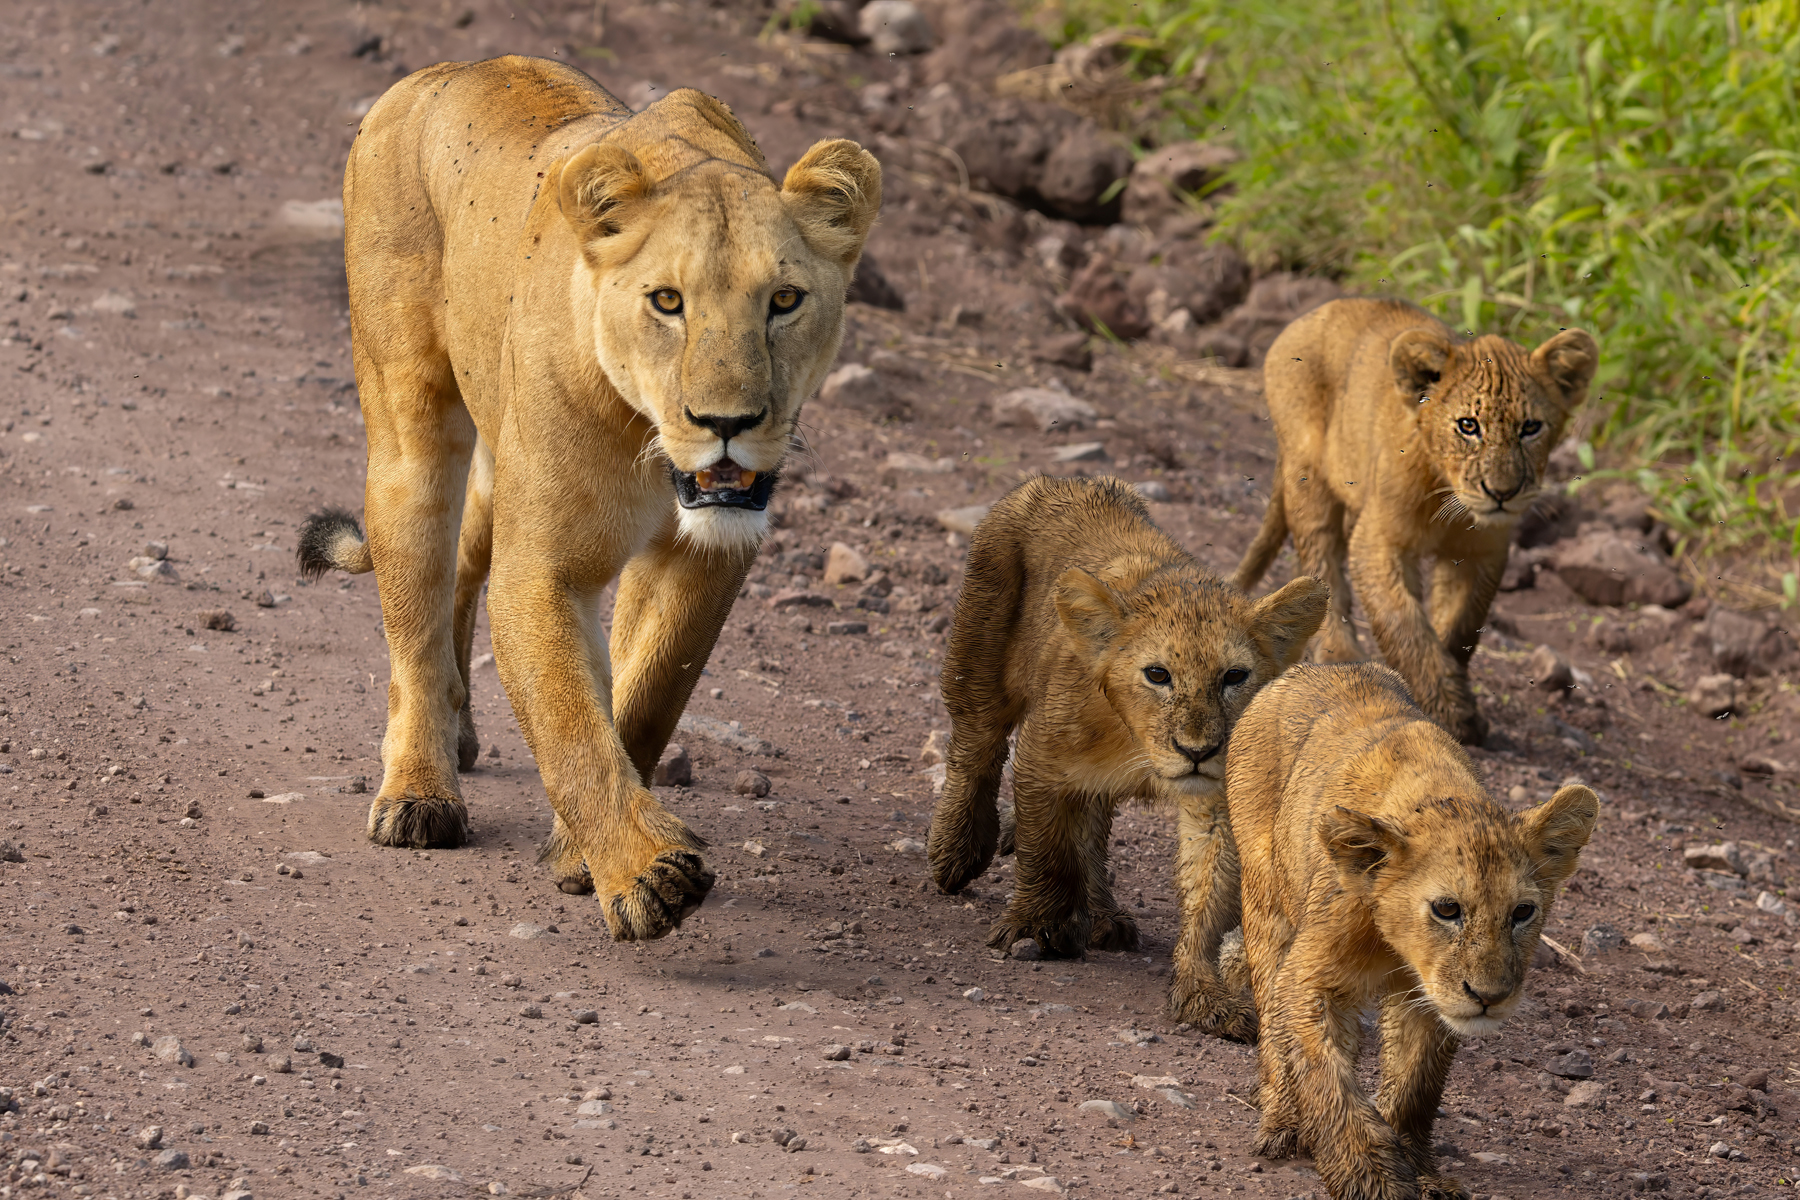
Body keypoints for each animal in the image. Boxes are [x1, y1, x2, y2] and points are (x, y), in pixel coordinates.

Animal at [296, 56, 881, 942]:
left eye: (784, 300)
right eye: (666, 301)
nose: (727, 425)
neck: (648, 442)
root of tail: (440, 70)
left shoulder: (705, 553)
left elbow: (644, 693)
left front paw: (582, 851)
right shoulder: (543, 566)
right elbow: (571, 722)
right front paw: (645, 876)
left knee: (462, 566)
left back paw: (463, 736)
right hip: (407, 425)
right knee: (415, 612)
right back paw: (421, 792)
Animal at [926, 475, 1328, 965]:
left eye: (1234, 676)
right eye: (1157, 674)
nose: (1197, 752)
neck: (1137, 743)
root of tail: (1064, 480)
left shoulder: (1217, 794)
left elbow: (1210, 878)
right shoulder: (1043, 757)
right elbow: (1045, 847)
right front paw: (1036, 925)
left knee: (1091, 826)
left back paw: (1102, 917)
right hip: (979, 654)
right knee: (977, 744)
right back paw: (957, 850)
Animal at [1221, 662, 1597, 1200]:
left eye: (1522, 912)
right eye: (1447, 909)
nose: (1489, 997)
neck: (1398, 947)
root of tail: (1311, 667)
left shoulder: (1432, 999)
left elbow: (1415, 1084)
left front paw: (1420, 1173)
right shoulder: (1311, 975)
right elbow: (1327, 1076)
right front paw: (1369, 1175)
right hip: (1266, 898)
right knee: (1273, 1019)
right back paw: (1282, 1121)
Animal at [1233, 299, 1598, 745]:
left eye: (1530, 428)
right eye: (1468, 426)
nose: (1502, 493)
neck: (1448, 494)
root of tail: (1314, 312)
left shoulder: (1483, 553)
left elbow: (1459, 626)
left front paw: (1454, 693)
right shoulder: (1378, 540)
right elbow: (1404, 623)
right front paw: (1450, 711)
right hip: (1309, 477)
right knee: (1323, 564)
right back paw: (1342, 657)